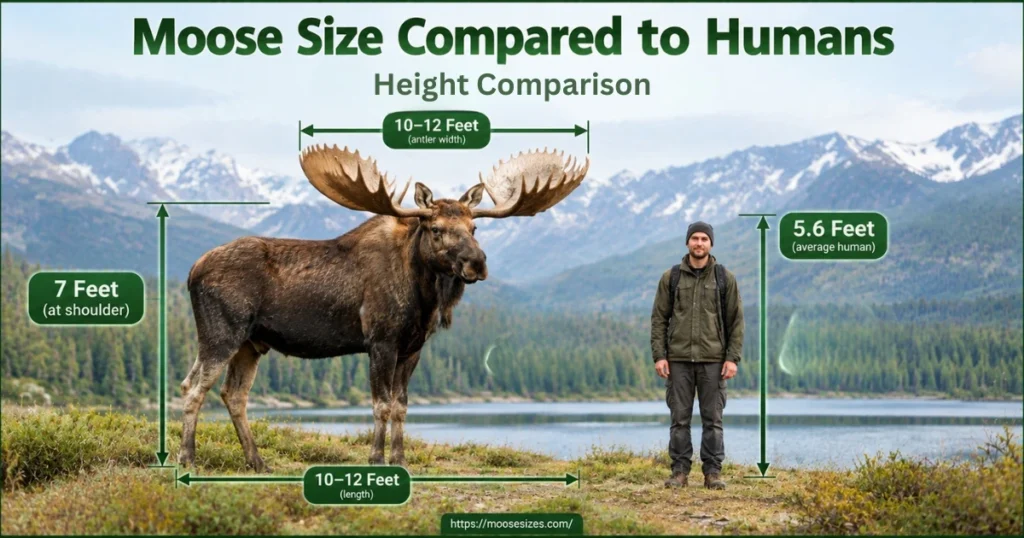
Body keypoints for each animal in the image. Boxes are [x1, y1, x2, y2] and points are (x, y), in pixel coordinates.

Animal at [178, 145, 589, 471]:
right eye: (436, 229)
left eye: (474, 229)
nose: (477, 263)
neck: (423, 299)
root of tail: (191, 271)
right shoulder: (380, 342)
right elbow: (380, 405)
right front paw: (376, 459)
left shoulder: (413, 348)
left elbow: (401, 406)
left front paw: (400, 459)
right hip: (222, 334)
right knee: (194, 387)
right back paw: (188, 458)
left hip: (252, 343)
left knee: (232, 394)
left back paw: (257, 461)